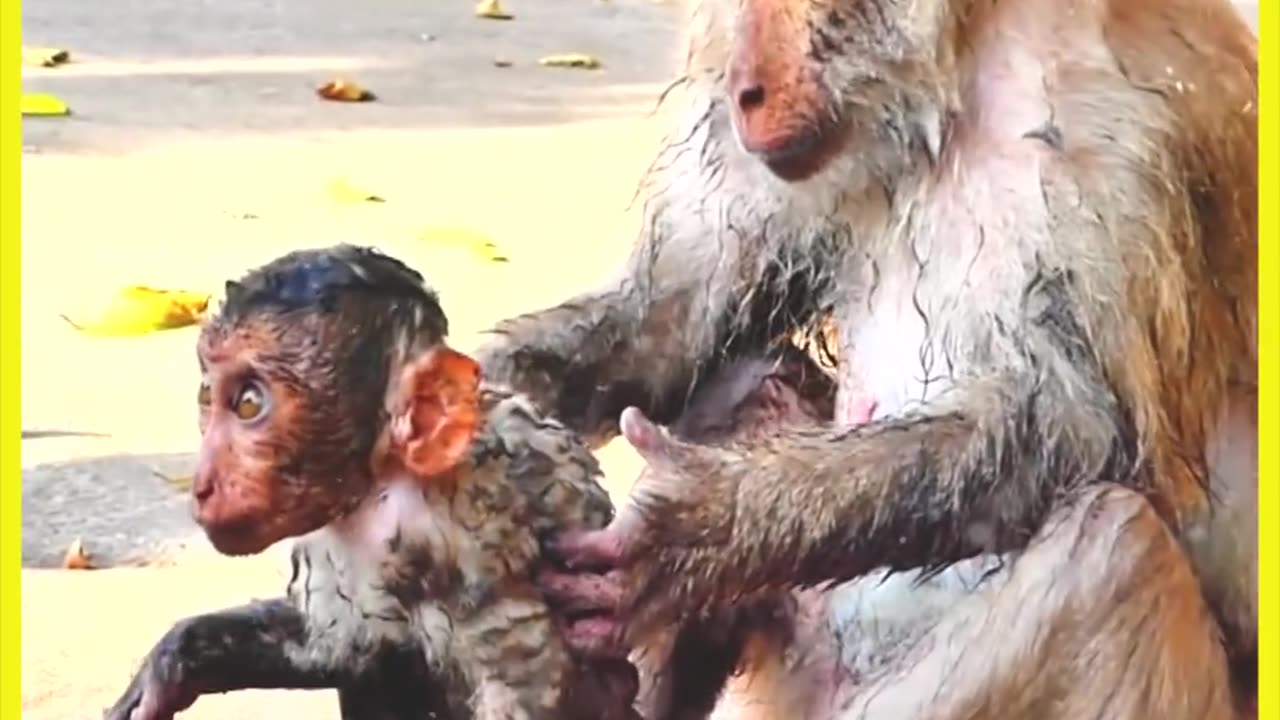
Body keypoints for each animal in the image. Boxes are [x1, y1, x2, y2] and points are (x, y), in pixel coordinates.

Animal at [106, 245, 640, 717]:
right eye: (208, 399)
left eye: (249, 404)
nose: (202, 483)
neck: (391, 486)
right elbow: (337, 650)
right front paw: (177, 658)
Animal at [481, 0, 1259, 712]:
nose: (743, 88)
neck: (954, 81)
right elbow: (672, 319)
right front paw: (488, 397)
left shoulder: (1120, 126)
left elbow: (1078, 428)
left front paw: (702, 530)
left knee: (1117, 546)